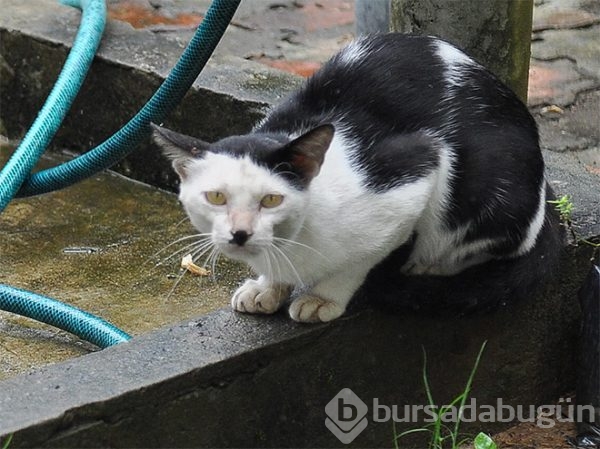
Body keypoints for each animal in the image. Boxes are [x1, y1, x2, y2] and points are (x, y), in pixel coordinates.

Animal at [151, 34, 564, 322]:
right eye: (216, 197)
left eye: (271, 199)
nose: (240, 233)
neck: (294, 242)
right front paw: (268, 287)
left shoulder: (417, 169)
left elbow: (360, 260)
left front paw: (323, 297)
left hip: (492, 181)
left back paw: (426, 266)